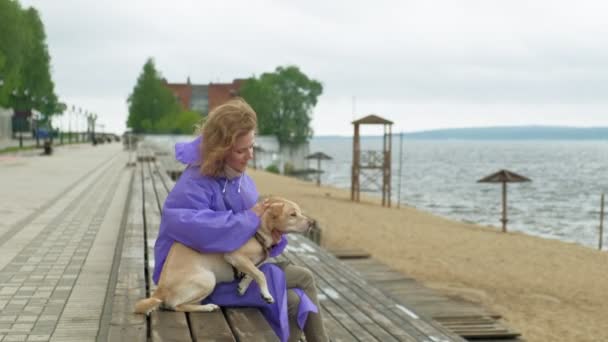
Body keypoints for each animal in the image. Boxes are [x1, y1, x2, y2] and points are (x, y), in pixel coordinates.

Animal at [134, 196, 314, 314]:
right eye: (293, 214)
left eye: (299, 212)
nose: (311, 223)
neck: (259, 231)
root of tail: (159, 291)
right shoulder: (235, 256)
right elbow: (260, 274)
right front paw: (266, 294)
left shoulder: (257, 260)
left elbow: (253, 272)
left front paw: (243, 285)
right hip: (207, 279)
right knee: (175, 306)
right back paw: (207, 307)